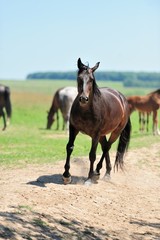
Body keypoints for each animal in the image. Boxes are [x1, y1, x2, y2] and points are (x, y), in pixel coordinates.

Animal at [62, 58, 131, 186]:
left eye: (91, 79)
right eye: (79, 78)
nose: (83, 99)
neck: (85, 110)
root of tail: (122, 98)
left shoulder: (95, 134)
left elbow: (92, 155)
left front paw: (89, 178)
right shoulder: (73, 128)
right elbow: (69, 147)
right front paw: (66, 176)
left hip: (115, 132)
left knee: (107, 147)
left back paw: (97, 172)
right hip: (102, 135)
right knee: (105, 147)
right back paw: (104, 173)